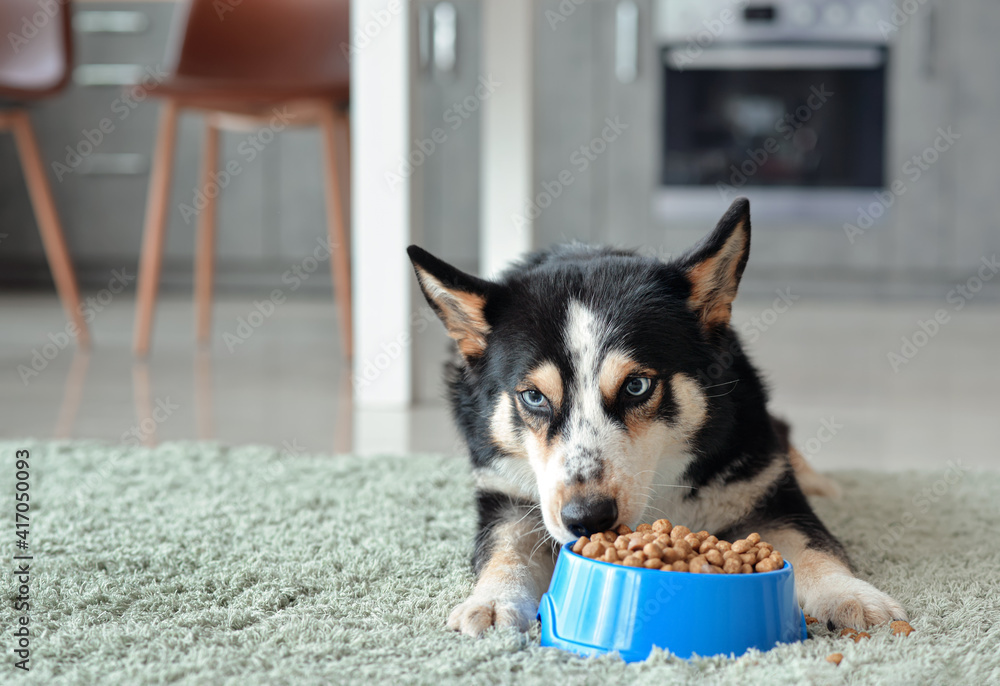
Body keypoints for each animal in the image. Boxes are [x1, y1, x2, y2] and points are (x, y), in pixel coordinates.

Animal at [404, 199, 908, 640]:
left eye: (637, 387)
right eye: (532, 397)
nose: (587, 518)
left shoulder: (766, 491)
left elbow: (814, 546)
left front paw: (851, 596)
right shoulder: (508, 495)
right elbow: (505, 549)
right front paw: (491, 603)